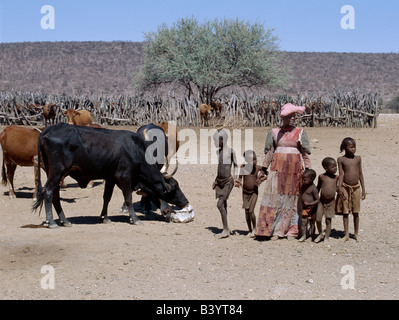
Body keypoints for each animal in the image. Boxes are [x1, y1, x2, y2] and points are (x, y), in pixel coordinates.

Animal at [31, 124, 189, 229]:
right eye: (175, 187)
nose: (185, 202)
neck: (135, 150)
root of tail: (49, 129)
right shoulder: (124, 177)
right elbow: (128, 198)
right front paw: (135, 218)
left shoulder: (110, 178)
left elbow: (106, 197)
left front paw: (105, 217)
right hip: (57, 171)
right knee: (48, 192)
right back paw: (52, 222)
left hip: (55, 173)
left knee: (55, 195)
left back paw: (65, 221)